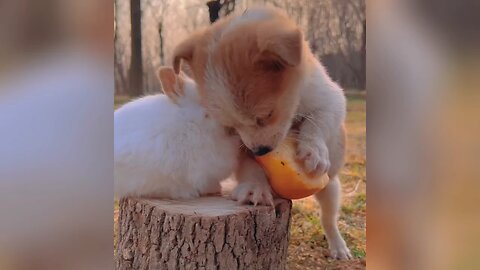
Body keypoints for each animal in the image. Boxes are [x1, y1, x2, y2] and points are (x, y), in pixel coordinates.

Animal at [173, 6, 352, 260]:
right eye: (230, 127)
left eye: (266, 116)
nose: (260, 151)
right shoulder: (240, 146)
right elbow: (249, 166)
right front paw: (255, 187)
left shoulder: (331, 98)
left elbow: (317, 122)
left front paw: (313, 150)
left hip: (331, 187)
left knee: (328, 217)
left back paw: (338, 245)